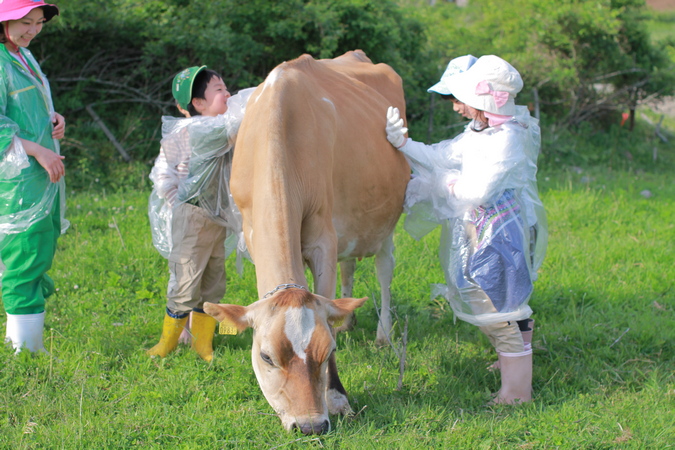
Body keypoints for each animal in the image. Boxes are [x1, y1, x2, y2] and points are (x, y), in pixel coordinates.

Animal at [203, 51, 410, 434]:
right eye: (266, 356)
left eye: (326, 352)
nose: (310, 425)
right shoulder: (252, 234)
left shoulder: (322, 237)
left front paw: (337, 397)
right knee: (349, 265)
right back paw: (348, 319)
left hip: (387, 223)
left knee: (384, 272)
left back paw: (383, 335)